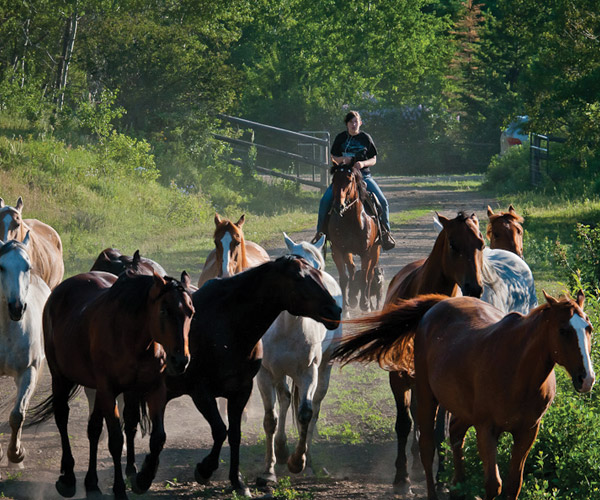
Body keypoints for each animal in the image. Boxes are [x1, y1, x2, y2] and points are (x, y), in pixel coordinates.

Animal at [27, 270, 195, 500]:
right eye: (164, 310)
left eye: (191, 312)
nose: (180, 360)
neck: (133, 337)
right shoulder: (108, 391)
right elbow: (116, 441)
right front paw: (119, 489)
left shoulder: (154, 390)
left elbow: (158, 437)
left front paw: (143, 478)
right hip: (61, 377)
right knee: (62, 418)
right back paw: (68, 478)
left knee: (95, 429)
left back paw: (92, 484)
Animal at [256, 232, 344, 482]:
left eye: (319, 268)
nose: (332, 311)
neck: (287, 327)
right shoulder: (265, 374)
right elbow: (271, 418)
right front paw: (268, 471)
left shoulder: (308, 373)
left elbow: (305, 414)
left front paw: (297, 462)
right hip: (279, 374)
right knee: (285, 399)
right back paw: (281, 449)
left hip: (322, 370)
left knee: (314, 409)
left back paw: (307, 459)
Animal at [328, 162, 380, 310]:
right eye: (334, 180)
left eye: (349, 180)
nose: (338, 206)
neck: (351, 221)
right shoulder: (338, 251)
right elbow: (343, 278)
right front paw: (345, 306)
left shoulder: (366, 253)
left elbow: (364, 277)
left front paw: (365, 303)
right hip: (348, 252)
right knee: (352, 269)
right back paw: (351, 298)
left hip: (375, 250)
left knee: (370, 274)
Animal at [332, 292, 596, 500]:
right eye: (563, 330)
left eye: (589, 328)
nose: (587, 378)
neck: (517, 369)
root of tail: (439, 305)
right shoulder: (486, 428)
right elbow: (493, 484)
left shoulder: (528, 430)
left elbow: (513, 485)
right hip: (427, 397)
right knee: (427, 448)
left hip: (463, 410)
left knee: (456, 433)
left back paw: (457, 486)